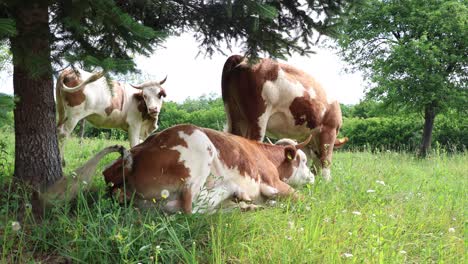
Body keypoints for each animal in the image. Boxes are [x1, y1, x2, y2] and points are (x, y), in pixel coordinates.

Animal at [102, 124, 314, 214]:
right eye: (303, 160)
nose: (313, 176)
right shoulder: (274, 182)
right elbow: (303, 198)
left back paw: (244, 205)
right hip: (200, 144)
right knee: (190, 207)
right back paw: (235, 192)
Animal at [220, 54, 348, 183]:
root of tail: (242, 58)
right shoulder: (330, 129)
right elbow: (326, 158)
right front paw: (326, 181)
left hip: (235, 114)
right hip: (258, 119)